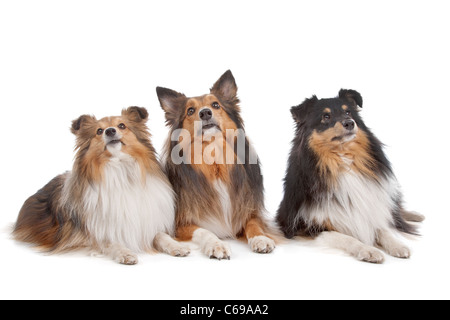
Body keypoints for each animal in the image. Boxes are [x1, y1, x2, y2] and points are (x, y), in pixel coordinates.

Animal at [12, 106, 188, 264]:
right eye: (99, 131)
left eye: (122, 125)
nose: (109, 131)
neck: (120, 170)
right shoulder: (90, 235)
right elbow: (110, 242)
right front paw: (125, 253)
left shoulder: (146, 225)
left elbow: (161, 235)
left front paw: (177, 246)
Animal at [156, 70, 280, 260]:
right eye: (190, 110)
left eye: (215, 105)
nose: (205, 113)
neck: (214, 164)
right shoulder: (179, 224)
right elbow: (204, 231)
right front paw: (216, 245)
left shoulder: (248, 210)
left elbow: (254, 224)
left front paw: (260, 239)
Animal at [276, 89, 424, 262]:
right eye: (326, 116)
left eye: (348, 112)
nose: (349, 123)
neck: (342, 159)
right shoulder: (305, 226)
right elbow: (345, 237)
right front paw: (368, 250)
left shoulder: (371, 207)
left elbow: (382, 229)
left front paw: (397, 245)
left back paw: (416, 215)